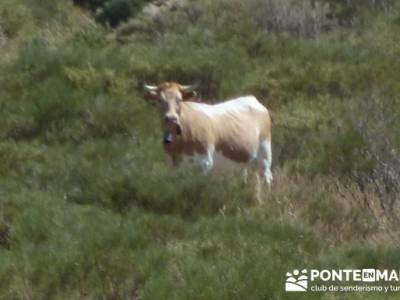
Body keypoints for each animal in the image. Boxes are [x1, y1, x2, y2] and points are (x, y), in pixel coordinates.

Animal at [143, 82, 272, 185]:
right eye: (160, 100)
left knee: (267, 176)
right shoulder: (174, 166)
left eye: (179, 100)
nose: (171, 118)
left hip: (264, 151)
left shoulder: (205, 163)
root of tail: (252, 99)